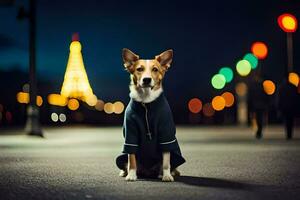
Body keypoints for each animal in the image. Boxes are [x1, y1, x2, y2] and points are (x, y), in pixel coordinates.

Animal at [115, 48, 185, 181]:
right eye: (139, 69)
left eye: (155, 69)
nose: (146, 79)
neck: (146, 101)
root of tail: (147, 172)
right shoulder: (131, 134)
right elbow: (131, 158)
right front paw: (131, 175)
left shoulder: (166, 134)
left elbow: (166, 161)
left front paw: (167, 175)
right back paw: (124, 172)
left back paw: (168, 173)